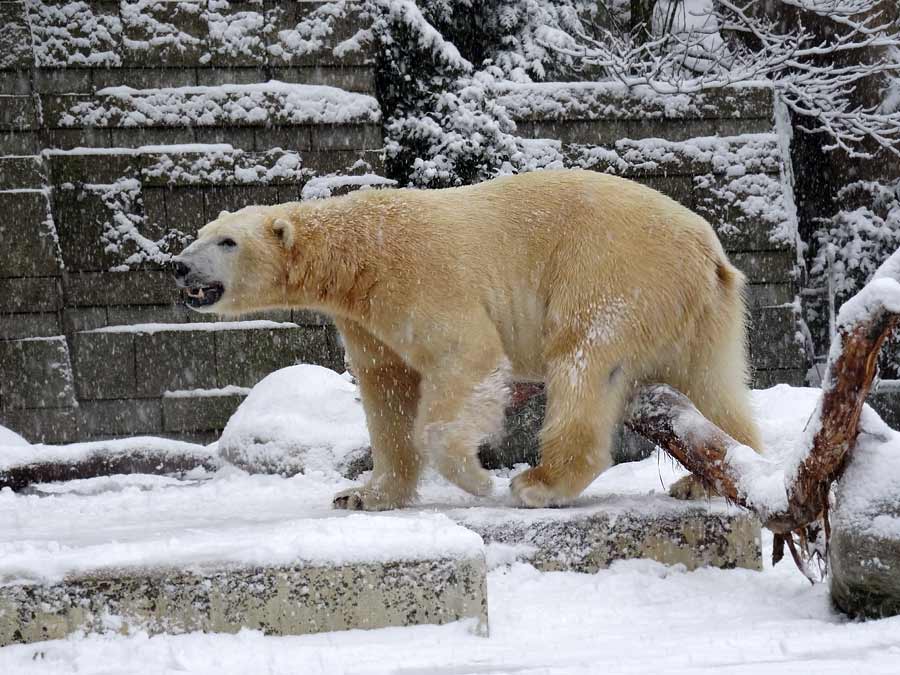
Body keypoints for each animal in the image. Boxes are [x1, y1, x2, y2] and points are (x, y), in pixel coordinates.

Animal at [172, 170, 756, 512]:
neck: (360, 254)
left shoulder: (418, 276)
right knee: (712, 387)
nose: (178, 266)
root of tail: (707, 250)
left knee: (584, 361)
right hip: (701, 310)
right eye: (200, 234)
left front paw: (476, 480)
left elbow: (463, 359)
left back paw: (540, 483)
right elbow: (387, 392)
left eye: (227, 242)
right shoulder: (367, 320)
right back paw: (709, 477)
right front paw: (362, 494)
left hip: (613, 272)